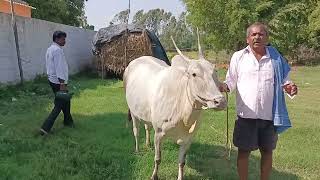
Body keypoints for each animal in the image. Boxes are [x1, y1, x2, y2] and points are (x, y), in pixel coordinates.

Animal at [123, 35, 228, 179]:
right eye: (194, 74)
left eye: (215, 71)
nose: (220, 101)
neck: (184, 115)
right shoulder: (159, 133)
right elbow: (158, 159)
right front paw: (154, 176)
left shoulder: (188, 139)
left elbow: (181, 162)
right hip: (133, 113)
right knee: (136, 131)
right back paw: (138, 149)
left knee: (147, 126)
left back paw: (147, 143)